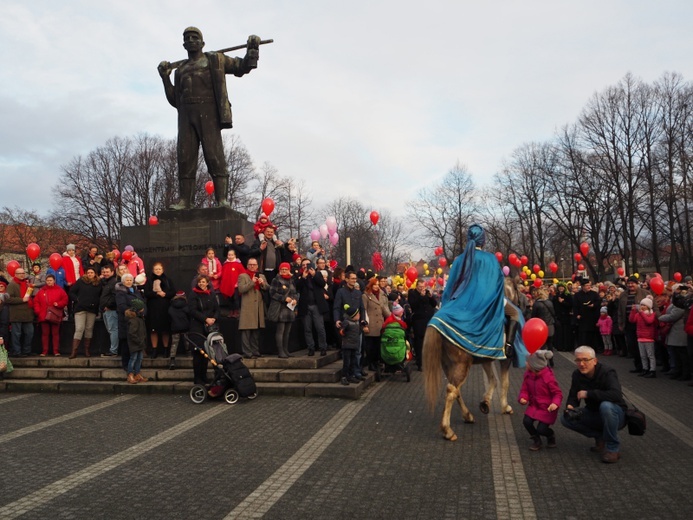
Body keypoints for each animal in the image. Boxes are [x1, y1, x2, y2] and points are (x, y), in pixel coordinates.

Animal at [422, 278, 520, 440]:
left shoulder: (486, 358)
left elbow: (493, 380)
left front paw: (485, 403)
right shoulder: (505, 359)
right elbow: (505, 382)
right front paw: (505, 407)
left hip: (449, 365)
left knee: (455, 389)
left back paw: (467, 416)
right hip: (462, 364)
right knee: (452, 390)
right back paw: (447, 430)